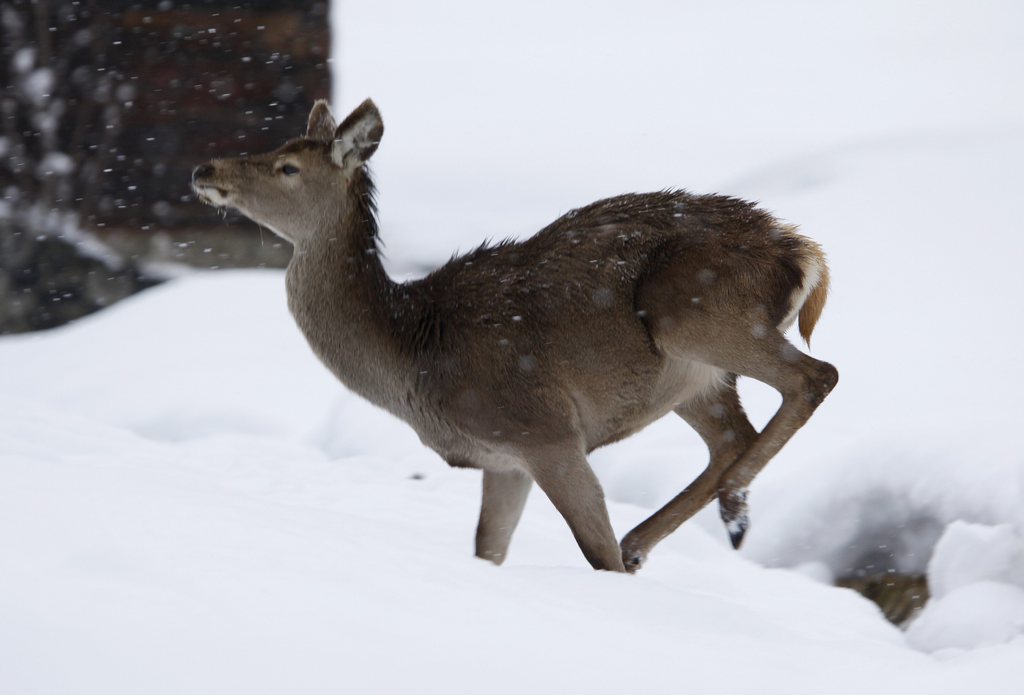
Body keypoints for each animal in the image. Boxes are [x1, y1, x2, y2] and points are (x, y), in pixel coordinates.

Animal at [193, 99, 839, 577]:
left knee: (815, 375)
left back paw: (720, 510)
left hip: (693, 314)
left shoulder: (545, 431)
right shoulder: (505, 460)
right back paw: (668, 532)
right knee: (732, 436)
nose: (205, 170)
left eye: (288, 168)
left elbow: (593, 553)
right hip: (692, 376)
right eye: (275, 148)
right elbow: (488, 549)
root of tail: (805, 253)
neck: (412, 357)